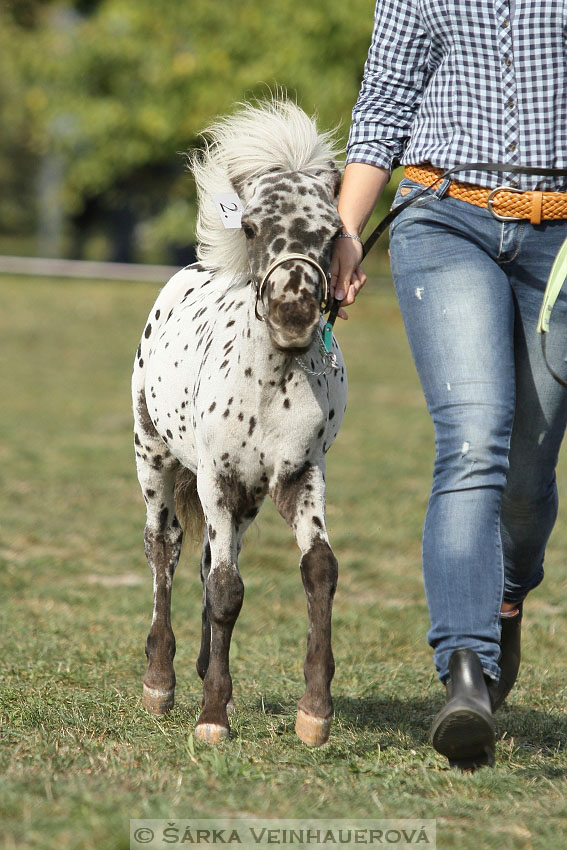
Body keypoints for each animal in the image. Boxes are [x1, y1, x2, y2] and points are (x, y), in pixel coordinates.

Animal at [132, 99, 346, 744]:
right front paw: (211, 717)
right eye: (251, 227)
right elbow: (228, 590)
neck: (270, 386)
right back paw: (161, 682)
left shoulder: (298, 476)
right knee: (166, 548)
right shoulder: (218, 480)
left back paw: (204, 669)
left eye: (334, 233)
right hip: (154, 457)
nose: (293, 316)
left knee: (205, 559)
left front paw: (315, 713)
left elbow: (318, 569)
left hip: (244, 500)